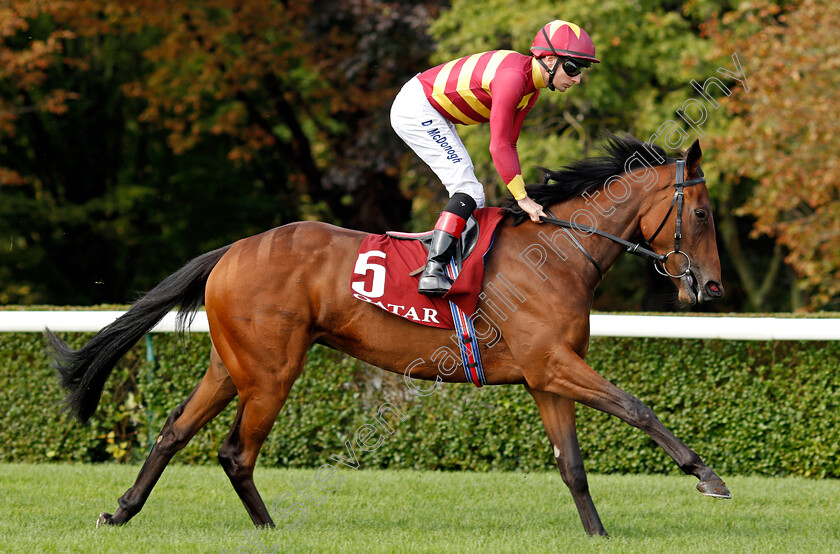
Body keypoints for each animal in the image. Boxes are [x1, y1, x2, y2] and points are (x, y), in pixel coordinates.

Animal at [47, 134, 728, 536]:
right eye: (701, 214)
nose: (713, 288)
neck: (561, 253)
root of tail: (232, 250)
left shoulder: (546, 377)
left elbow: (573, 465)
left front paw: (597, 535)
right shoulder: (554, 364)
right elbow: (637, 408)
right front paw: (707, 476)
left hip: (230, 363)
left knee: (174, 431)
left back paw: (123, 511)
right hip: (270, 371)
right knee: (235, 451)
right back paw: (269, 529)